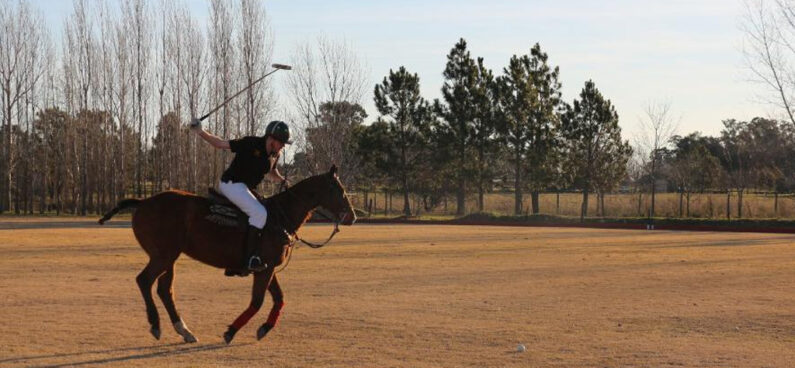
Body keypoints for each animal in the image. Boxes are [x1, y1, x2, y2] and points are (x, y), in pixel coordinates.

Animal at [98, 165, 356, 344]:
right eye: (338, 190)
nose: (352, 217)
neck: (281, 216)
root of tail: (142, 202)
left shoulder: (267, 266)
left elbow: (279, 298)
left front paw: (264, 328)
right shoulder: (264, 268)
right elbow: (257, 301)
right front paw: (231, 331)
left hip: (169, 256)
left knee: (164, 289)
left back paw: (184, 330)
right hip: (162, 255)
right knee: (144, 280)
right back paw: (156, 325)